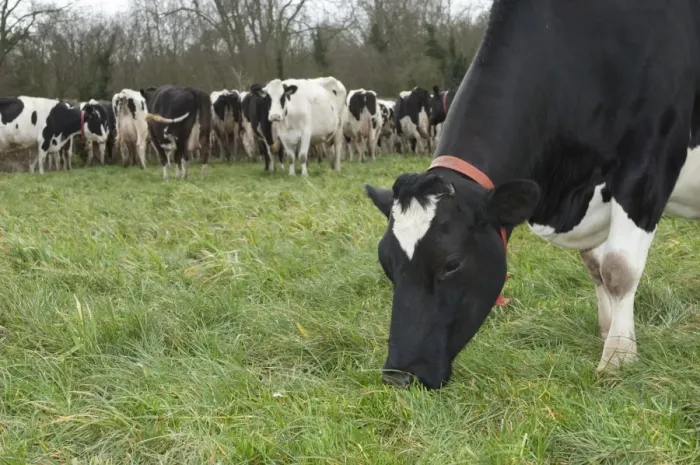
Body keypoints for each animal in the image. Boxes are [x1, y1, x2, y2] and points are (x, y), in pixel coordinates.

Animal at [364, 0, 700, 390]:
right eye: (386, 263)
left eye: (452, 264)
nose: (399, 376)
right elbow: (596, 267)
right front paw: (607, 332)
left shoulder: (647, 168)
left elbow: (618, 270)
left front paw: (618, 356)